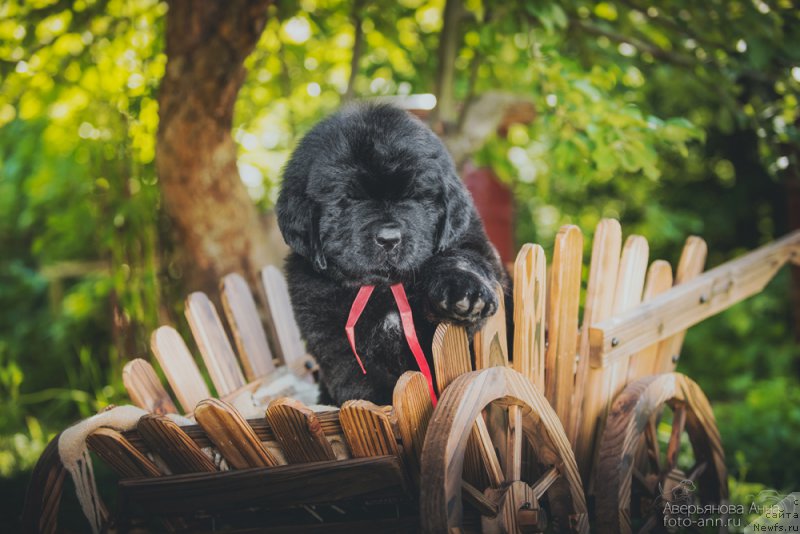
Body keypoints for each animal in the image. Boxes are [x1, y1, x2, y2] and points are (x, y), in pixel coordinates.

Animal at [278, 104, 506, 406]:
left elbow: (460, 258)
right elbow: (364, 383)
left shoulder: (470, 245)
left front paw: (466, 293)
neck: (385, 287)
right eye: (349, 198)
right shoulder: (335, 342)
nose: (389, 238)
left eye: (415, 195)